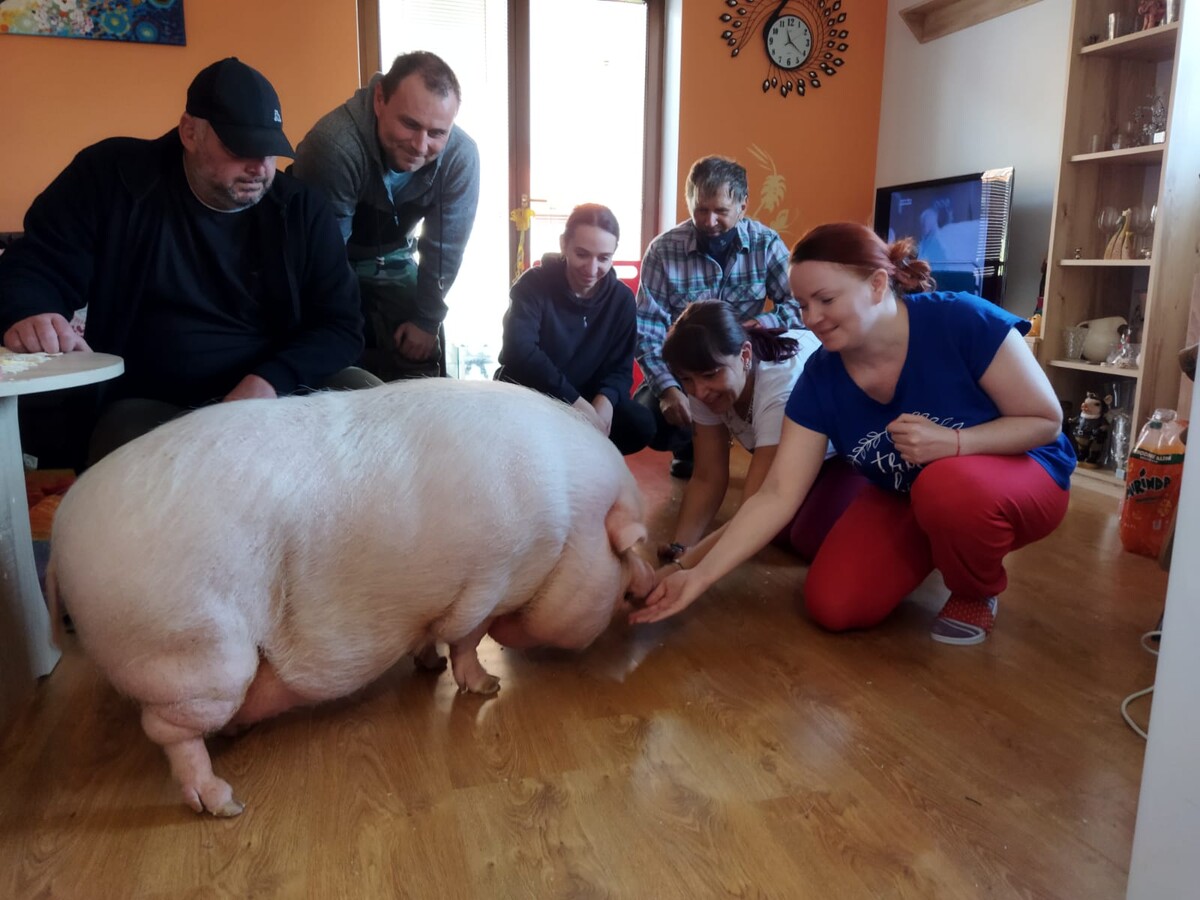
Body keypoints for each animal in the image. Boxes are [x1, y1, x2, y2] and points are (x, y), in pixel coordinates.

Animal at [46, 379, 652, 816]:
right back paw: (224, 804)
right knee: (169, 733)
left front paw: (427, 666)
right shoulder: (489, 580)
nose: (644, 589)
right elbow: (467, 638)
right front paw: (487, 687)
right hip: (193, 654)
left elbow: (430, 636)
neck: (568, 527)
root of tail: (59, 539)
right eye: (623, 571)